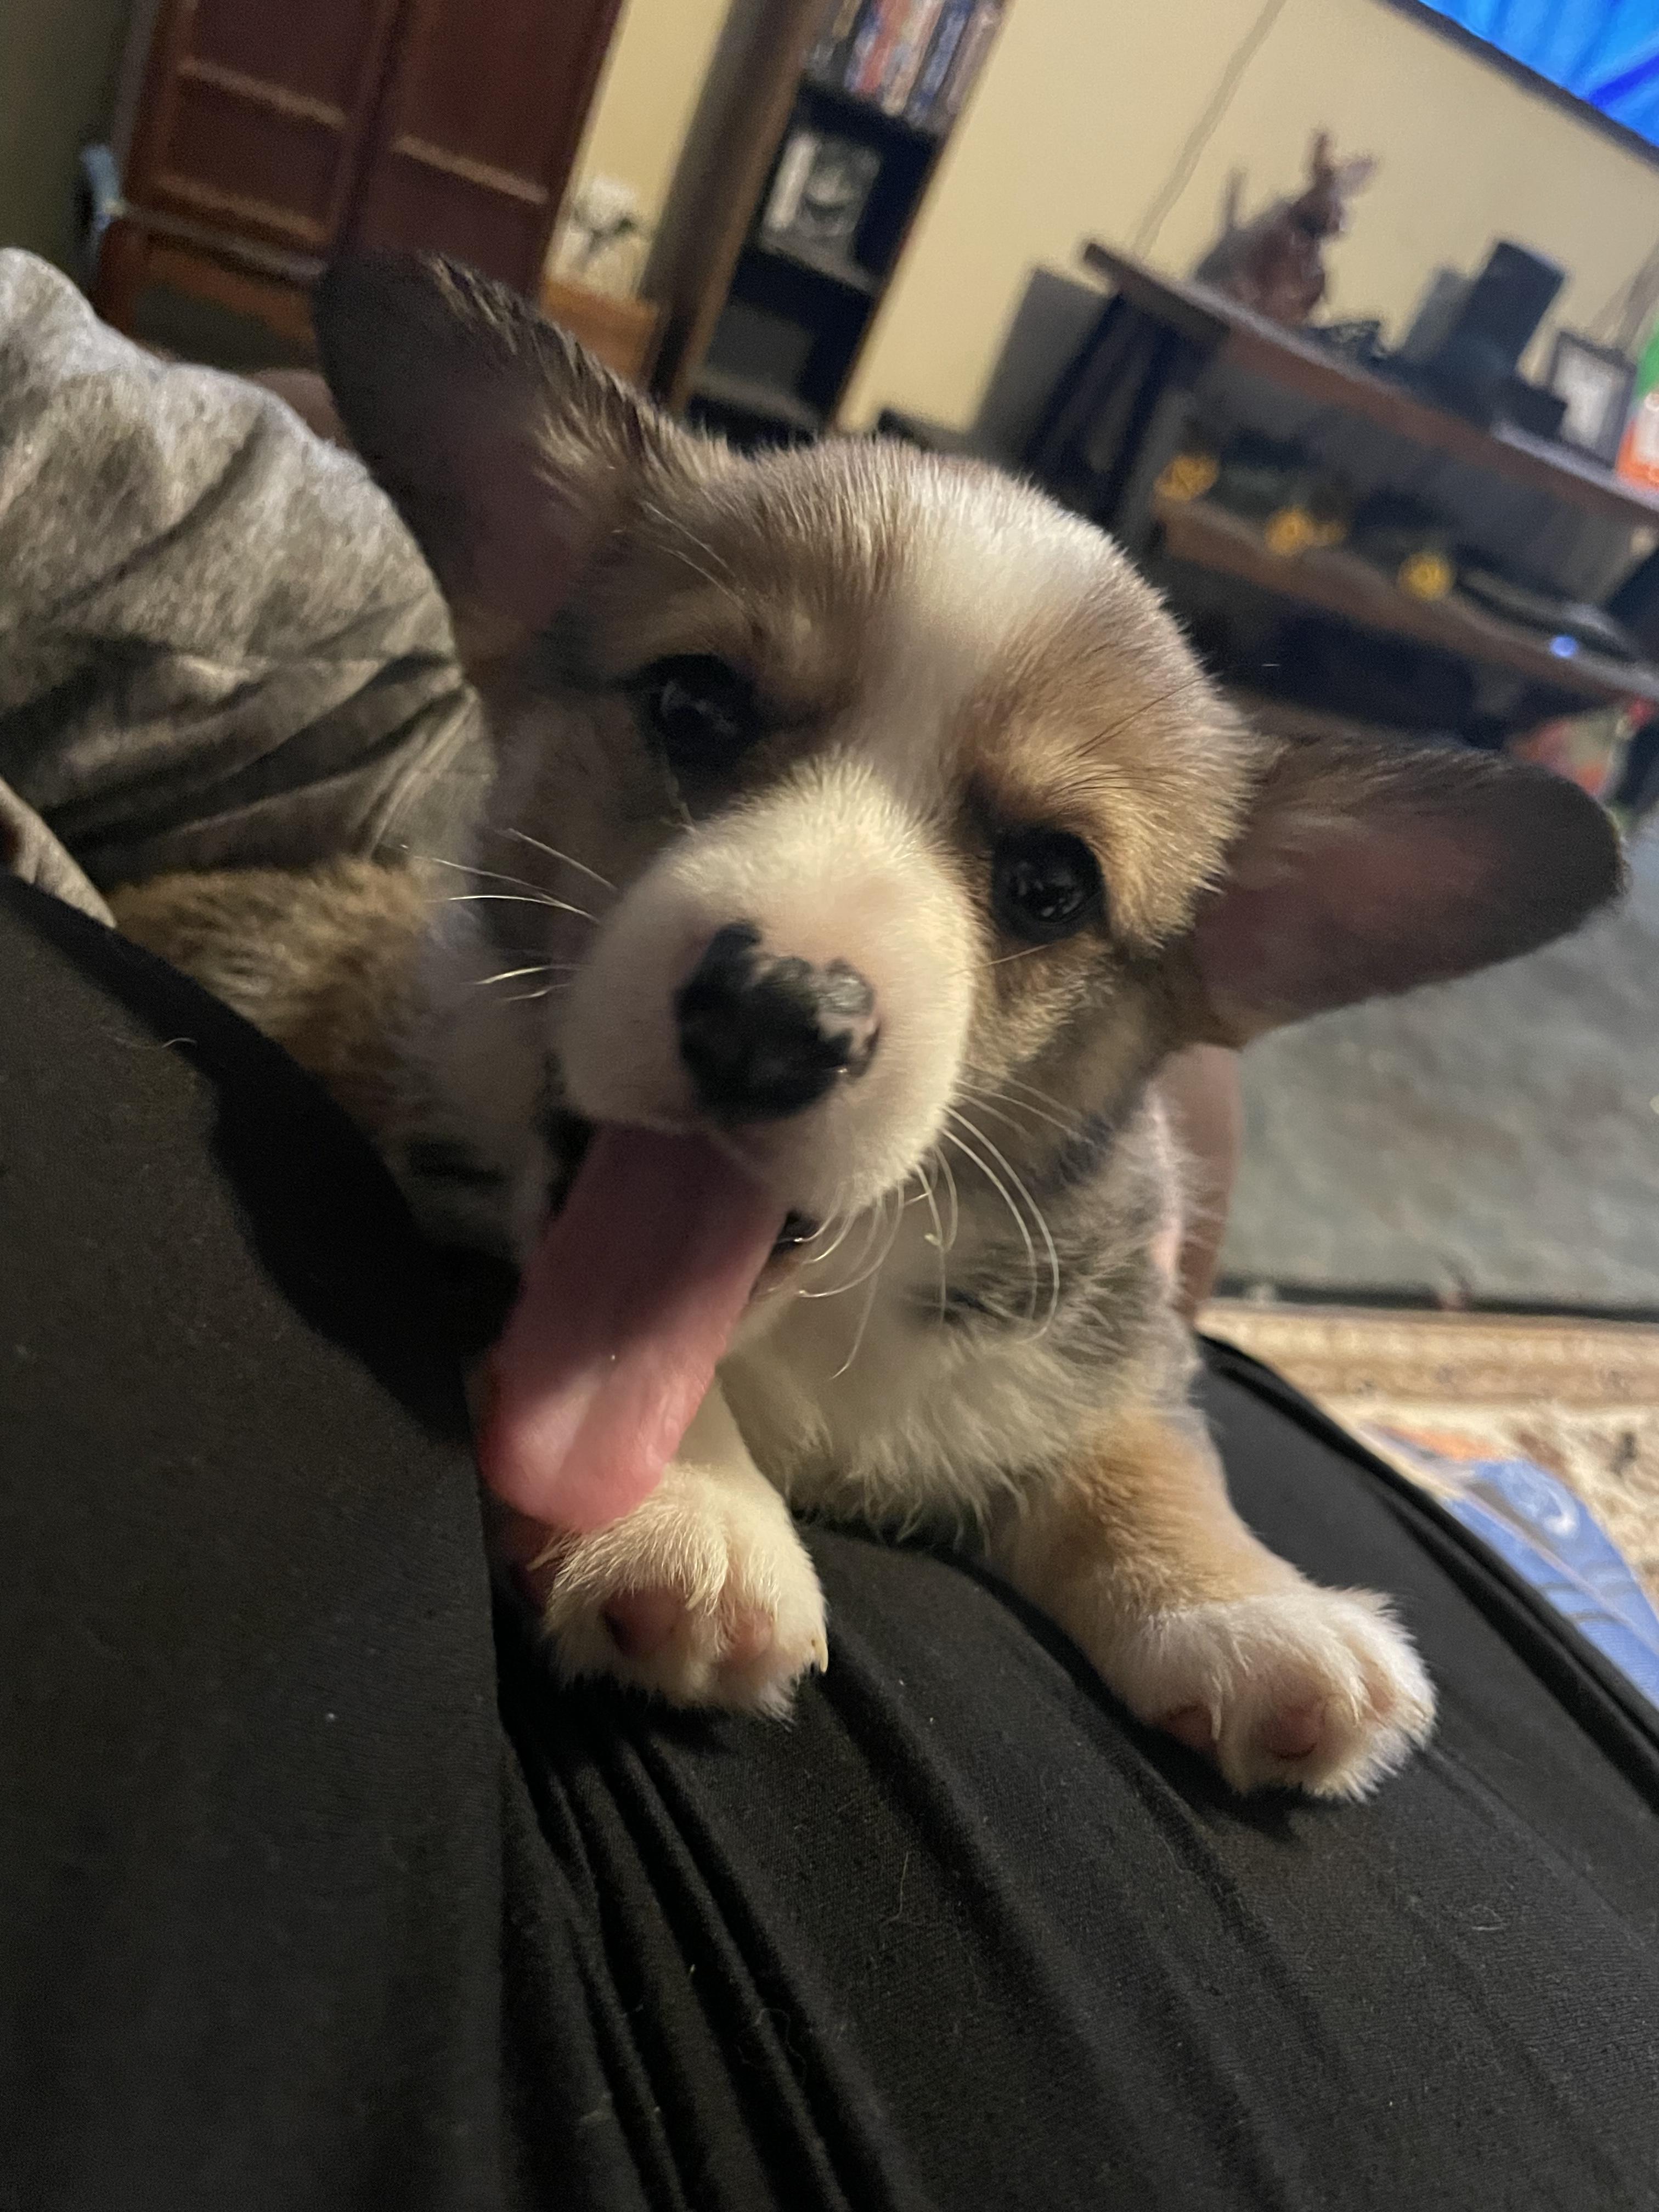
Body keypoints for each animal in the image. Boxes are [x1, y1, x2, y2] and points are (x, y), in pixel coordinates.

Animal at [113, 255, 1621, 1797]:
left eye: (1051, 883)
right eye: (694, 701)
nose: (773, 1017)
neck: (819, 1321)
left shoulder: (1099, 1349)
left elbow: (1149, 1454)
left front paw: (1252, 1611)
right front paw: (682, 1516)